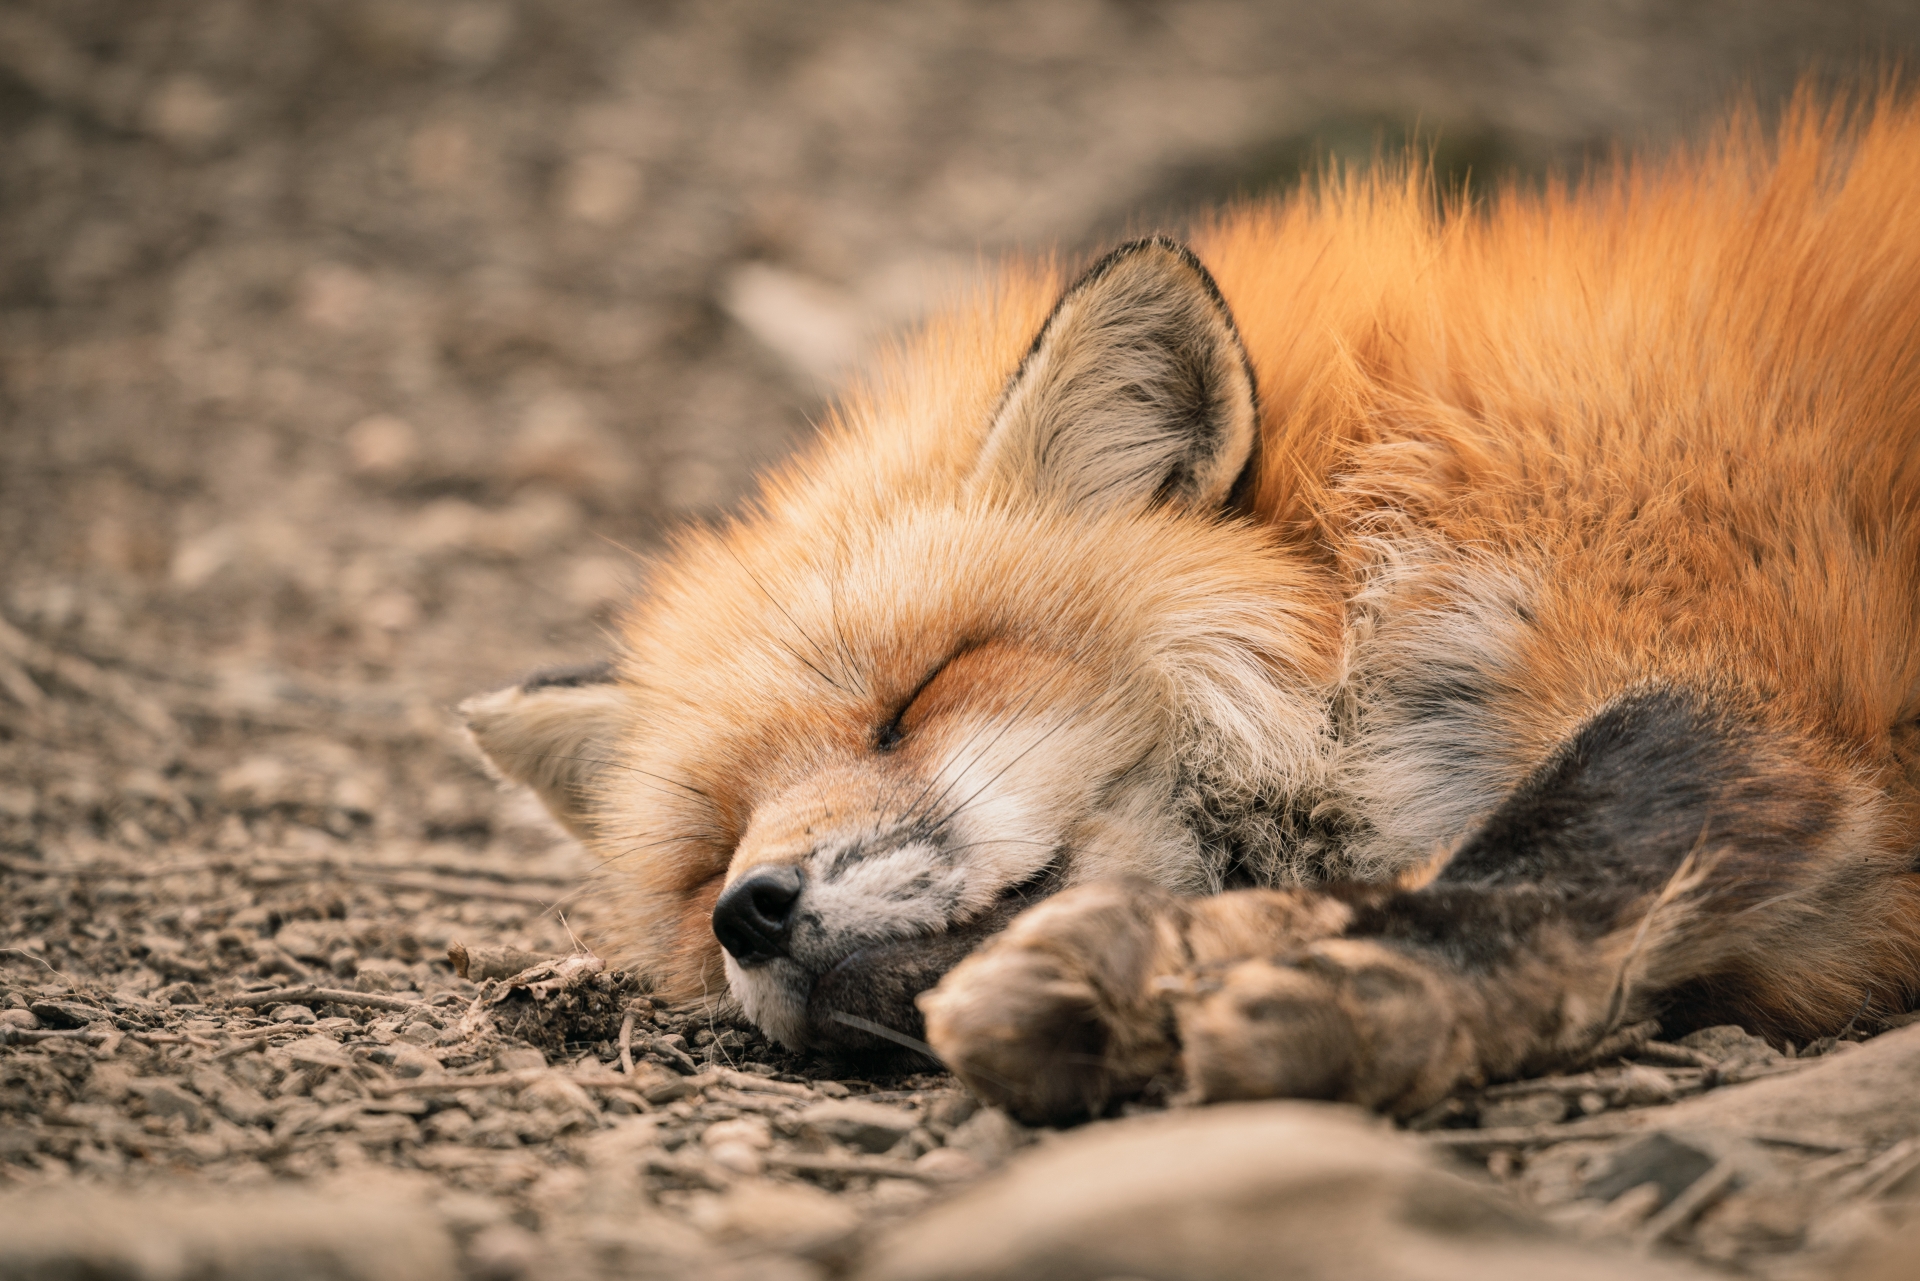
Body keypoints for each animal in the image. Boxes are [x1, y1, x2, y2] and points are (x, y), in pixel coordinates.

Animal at [464, 90, 1920, 1121]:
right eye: (704, 856)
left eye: (916, 697)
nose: (750, 909)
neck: (1397, 499)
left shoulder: (1750, 647)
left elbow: (1577, 833)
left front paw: (1360, 981)